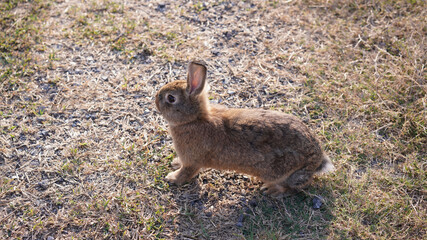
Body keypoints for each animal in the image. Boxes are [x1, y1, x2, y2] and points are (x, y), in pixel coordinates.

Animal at [155, 60, 336, 195]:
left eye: (171, 98)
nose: (156, 99)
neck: (194, 119)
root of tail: (317, 161)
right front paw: (175, 163)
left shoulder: (192, 160)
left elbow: (186, 173)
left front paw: (171, 178)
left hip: (285, 172)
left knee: (292, 186)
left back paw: (270, 189)